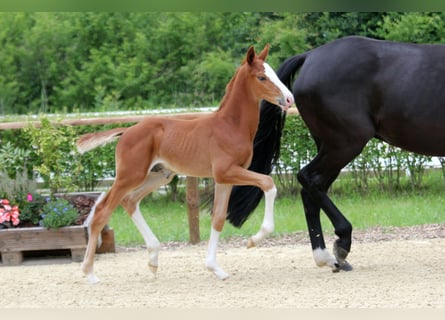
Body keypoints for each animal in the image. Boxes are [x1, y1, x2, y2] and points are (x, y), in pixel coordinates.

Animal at [76, 45, 294, 282]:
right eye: (262, 77)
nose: (289, 99)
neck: (230, 126)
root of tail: (126, 131)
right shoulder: (226, 172)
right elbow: (268, 184)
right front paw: (254, 240)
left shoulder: (225, 179)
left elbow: (218, 218)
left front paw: (215, 268)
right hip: (130, 175)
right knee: (102, 211)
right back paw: (89, 273)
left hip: (160, 175)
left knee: (130, 201)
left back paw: (153, 259)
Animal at [227, 36, 444, 272]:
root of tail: (311, 56)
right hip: (345, 143)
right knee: (309, 179)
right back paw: (341, 244)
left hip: (331, 147)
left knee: (312, 190)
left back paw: (327, 257)